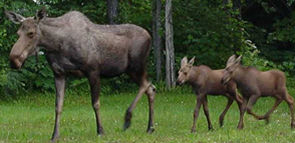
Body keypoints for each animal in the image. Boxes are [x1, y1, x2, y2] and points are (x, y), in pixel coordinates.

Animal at [5, 8, 157, 141]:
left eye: (31, 33)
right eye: (18, 33)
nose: (14, 60)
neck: (55, 45)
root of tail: (150, 36)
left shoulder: (93, 71)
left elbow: (96, 103)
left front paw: (100, 131)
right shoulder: (59, 74)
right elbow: (58, 106)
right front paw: (55, 135)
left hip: (136, 66)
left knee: (147, 84)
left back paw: (128, 119)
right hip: (131, 70)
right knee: (151, 88)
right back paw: (150, 128)